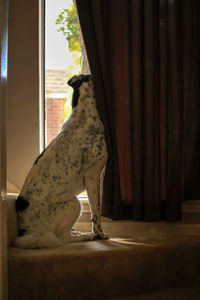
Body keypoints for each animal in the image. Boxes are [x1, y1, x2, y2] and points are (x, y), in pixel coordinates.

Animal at [13, 74, 108, 248]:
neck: (83, 113)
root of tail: (29, 232)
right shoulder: (93, 176)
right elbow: (96, 212)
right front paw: (100, 234)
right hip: (73, 202)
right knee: (63, 238)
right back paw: (85, 236)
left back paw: (77, 232)